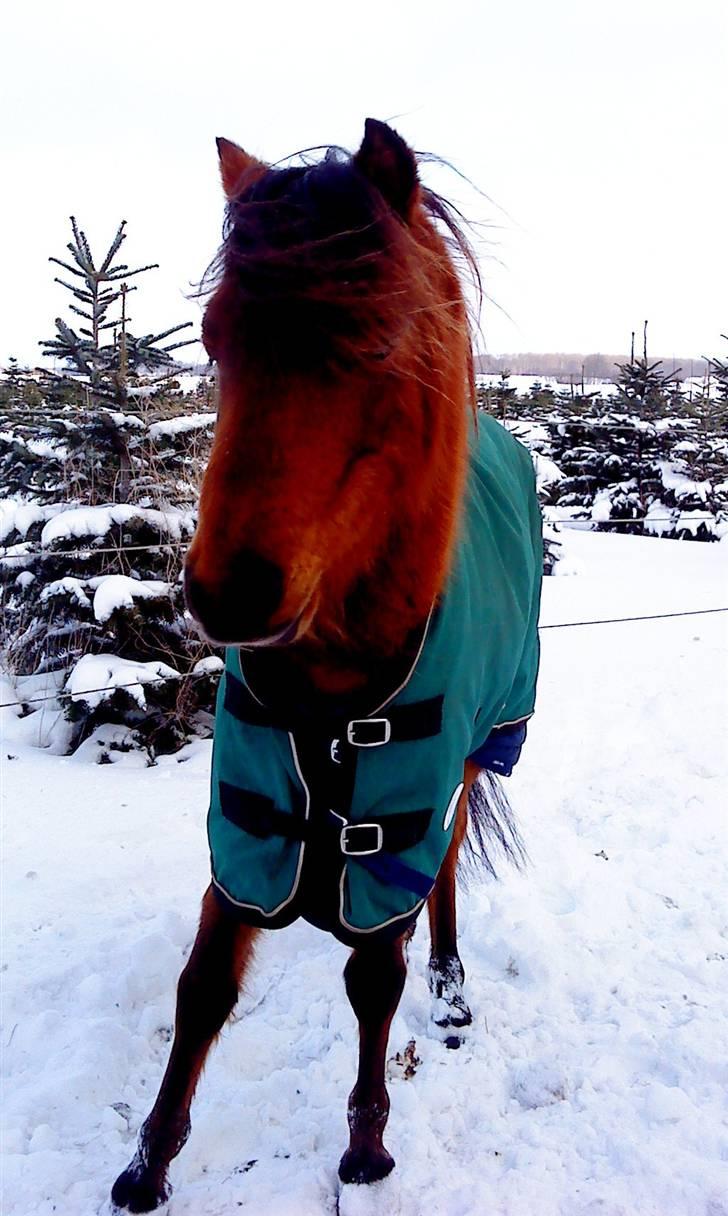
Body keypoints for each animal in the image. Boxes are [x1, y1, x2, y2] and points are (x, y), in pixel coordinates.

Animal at [109, 118, 542, 1211]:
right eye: (214, 337)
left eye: (373, 342)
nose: (226, 596)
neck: (329, 698)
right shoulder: (244, 824)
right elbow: (203, 985)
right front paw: (148, 1159)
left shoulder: (395, 822)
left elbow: (373, 977)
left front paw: (366, 1144)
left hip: (473, 754)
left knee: (447, 874)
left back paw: (451, 986)